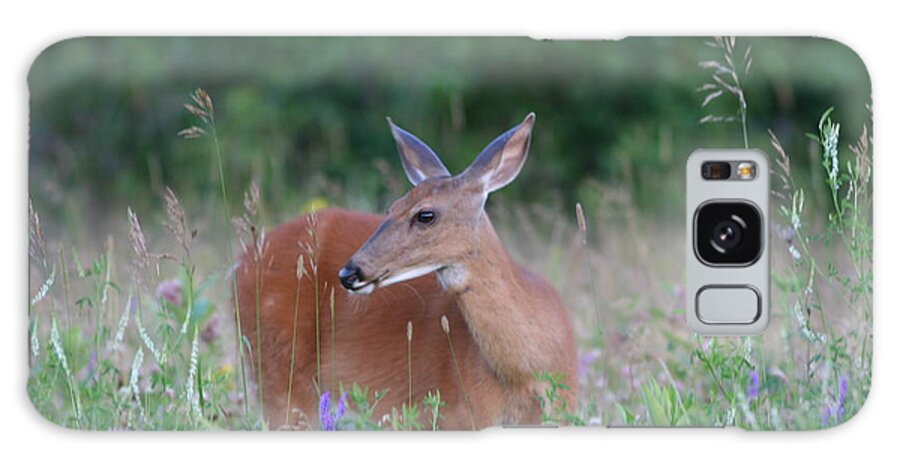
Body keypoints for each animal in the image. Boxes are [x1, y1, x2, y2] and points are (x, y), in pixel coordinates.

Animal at [236, 113, 576, 432]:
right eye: (391, 207)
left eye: (425, 214)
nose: (349, 272)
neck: (528, 372)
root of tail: (244, 258)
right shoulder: (454, 415)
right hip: (280, 373)